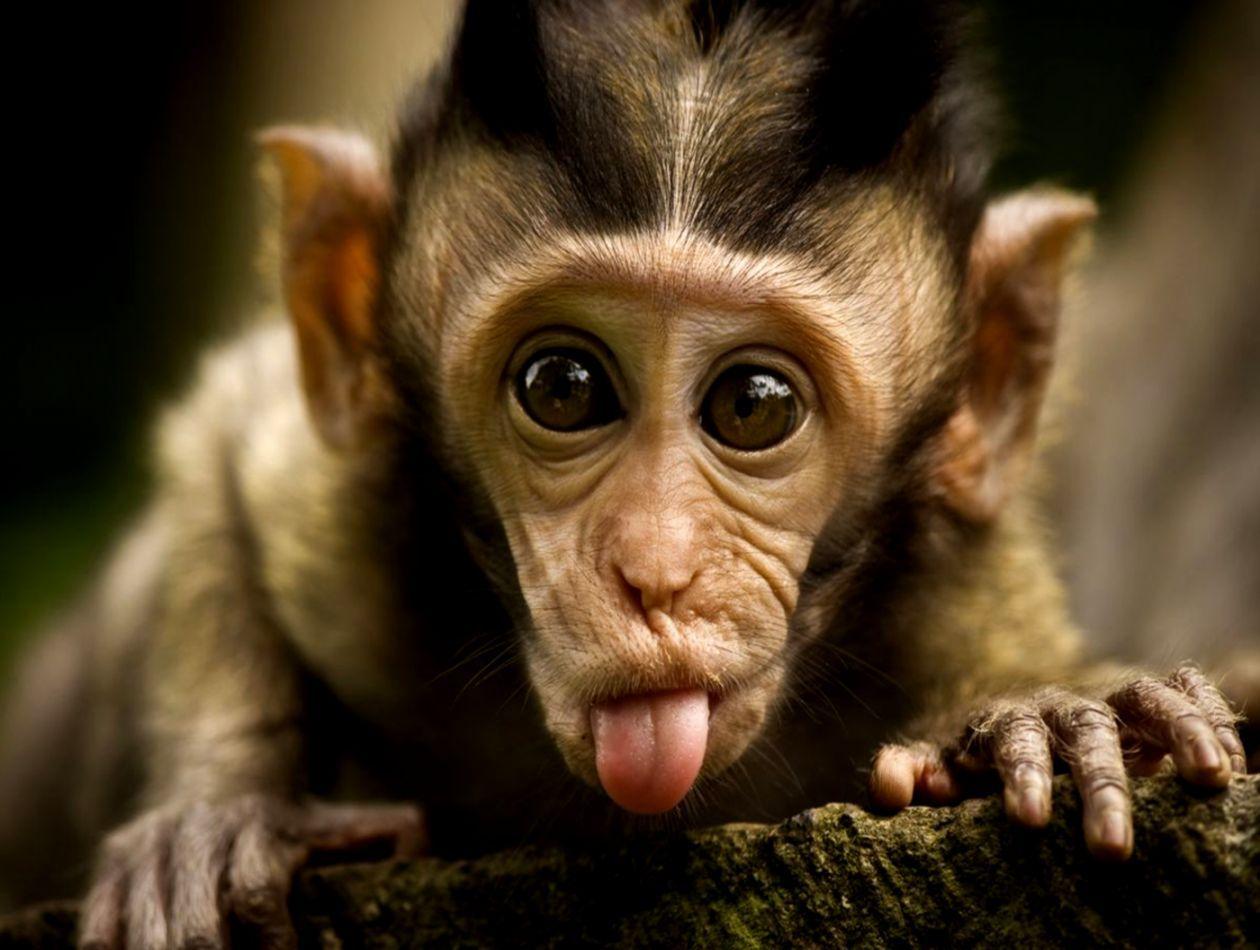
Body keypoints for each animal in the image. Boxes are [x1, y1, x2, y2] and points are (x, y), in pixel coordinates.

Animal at [0, 1, 1249, 946]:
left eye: (755, 406)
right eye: (563, 386)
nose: (655, 572)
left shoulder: (955, 587)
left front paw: (1047, 713)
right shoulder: (343, 531)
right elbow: (224, 439)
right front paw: (215, 809)